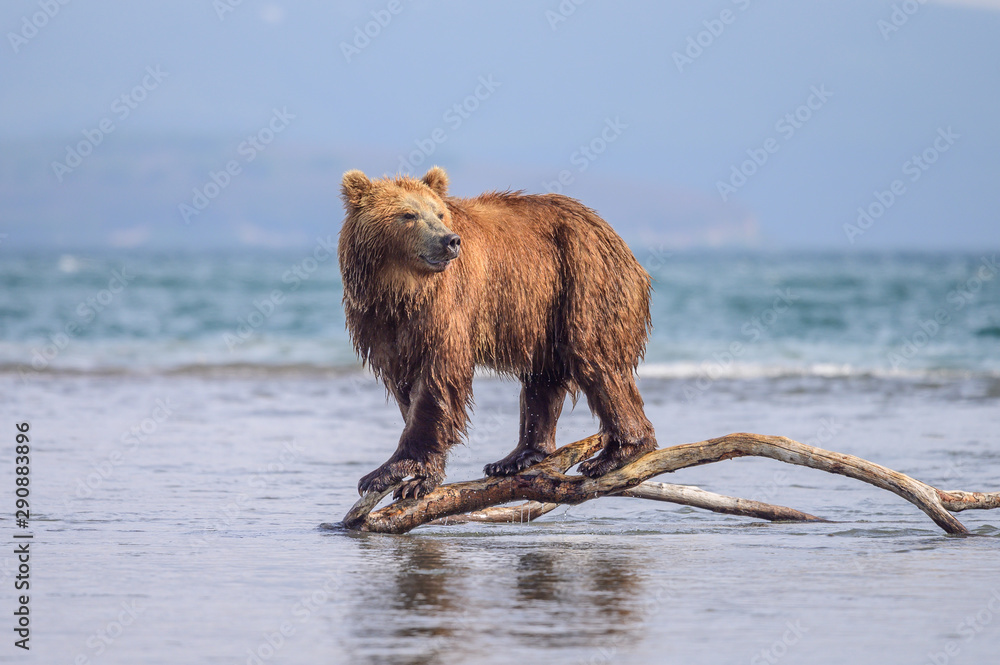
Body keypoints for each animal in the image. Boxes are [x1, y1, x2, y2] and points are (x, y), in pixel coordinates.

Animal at [339, 166, 657, 500]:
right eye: (408, 214)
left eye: (439, 213)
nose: (450, 240)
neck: (401, 288)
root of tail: (614, 237)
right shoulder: (378, 320)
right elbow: (403, 381)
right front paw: (405, 476)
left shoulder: (446, 306)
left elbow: (436, 381)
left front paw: (398, 473)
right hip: (543, 309)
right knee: (543, 376)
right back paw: (517, 457)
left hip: (584, 279)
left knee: (596, 360)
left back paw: (616, 454)